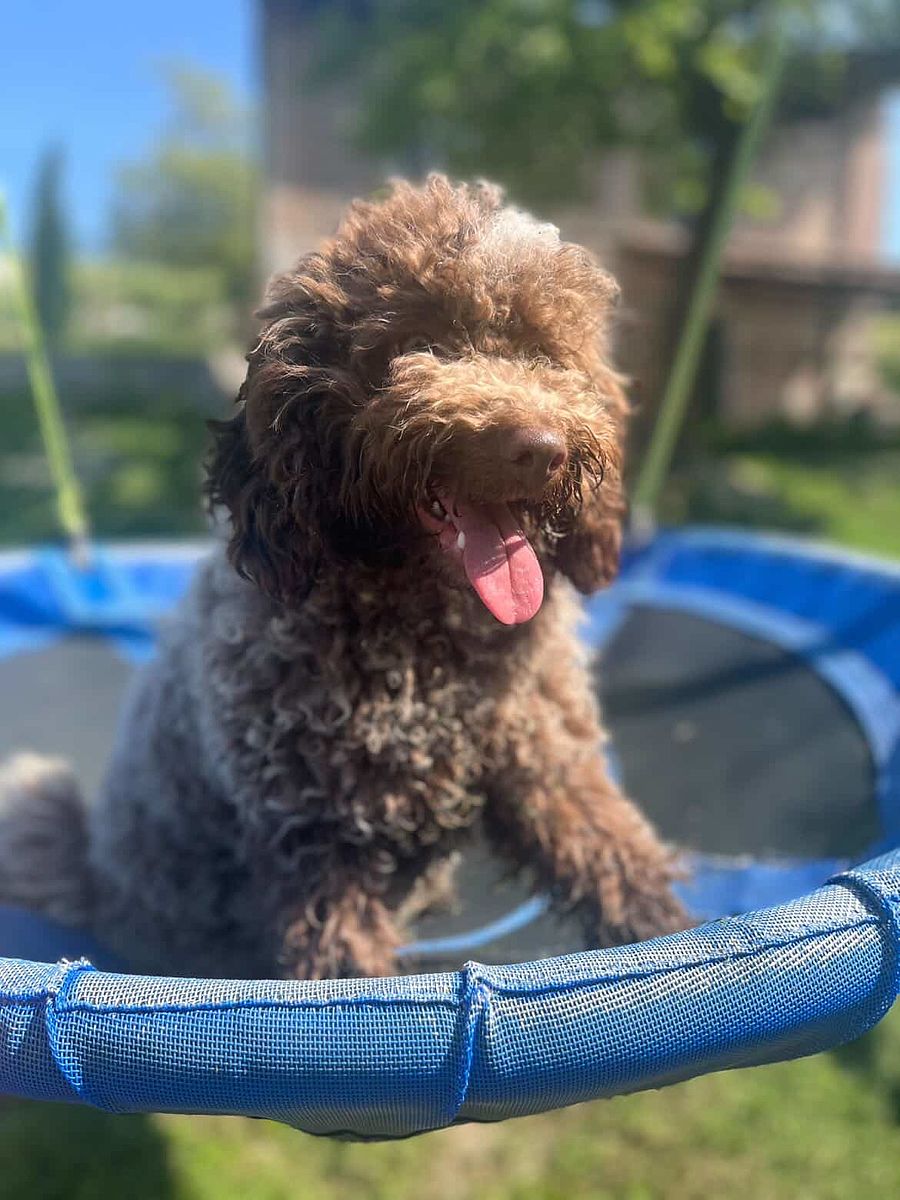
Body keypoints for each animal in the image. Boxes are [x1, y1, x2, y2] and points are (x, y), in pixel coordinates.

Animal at [0, 177, 689, 979]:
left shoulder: (548, 763)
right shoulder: (319, 842)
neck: (428, 647)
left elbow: (616, 858)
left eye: (544, 351)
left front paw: (678, 944)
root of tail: (92, 872)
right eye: (417, 343)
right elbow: (350, 974)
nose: (541, 448)